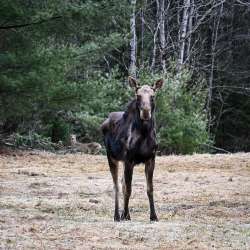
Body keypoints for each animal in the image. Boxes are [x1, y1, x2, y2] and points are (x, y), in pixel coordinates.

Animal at [101, 76, 164, 221]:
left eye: (153, 96)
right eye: (138, 95)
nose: (145, 112)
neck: (145, 134)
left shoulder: (151, 159)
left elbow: (149, 189)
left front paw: (153, 216)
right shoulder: (129, 160)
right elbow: (128, 189)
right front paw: (126, 215)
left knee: (122, 183)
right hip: (111, 157)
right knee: (117, 186)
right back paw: (117, 215)